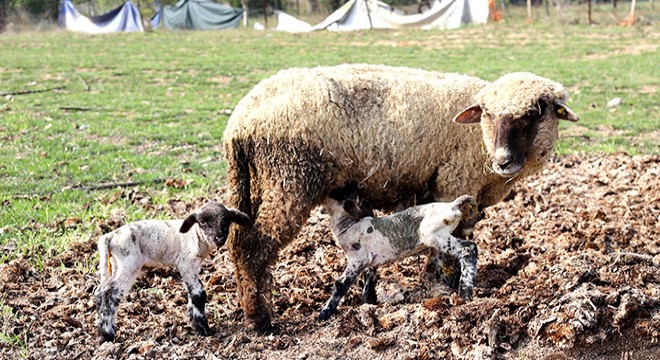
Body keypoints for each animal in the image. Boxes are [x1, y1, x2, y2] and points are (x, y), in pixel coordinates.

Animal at [95, 202, 253, 344]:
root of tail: (111, 236)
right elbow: (198, 292)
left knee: (100, 291)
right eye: (202, 222)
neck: (195, 236)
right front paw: (203, 329)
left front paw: (192, 320)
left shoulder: (193, 266)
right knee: (111, 293)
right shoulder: (186, 263)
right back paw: (107, 333)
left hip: (116, 264)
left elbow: (192, 291)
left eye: (227, 220)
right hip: (129, 263)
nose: (219, 238)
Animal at [220, 64, 576, 330]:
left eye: (537, 111)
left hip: (254, 184)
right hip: (289, 178)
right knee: (252, 246)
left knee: (242, 243)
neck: (480, 140)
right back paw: (259, 320)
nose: (503, 161)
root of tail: (239, 121)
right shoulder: (454, 180)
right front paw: (443, 284)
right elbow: (450, 247)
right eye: (487, 113)